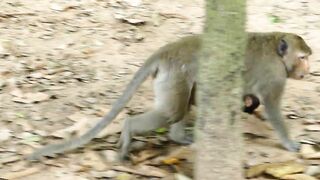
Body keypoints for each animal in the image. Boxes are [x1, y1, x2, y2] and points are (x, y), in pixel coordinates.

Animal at [28, 31, 312, 162]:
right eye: (303, 57)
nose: (309, 70)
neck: (276, 52)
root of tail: (166, 51)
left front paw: (248, 106)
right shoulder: (274, 75)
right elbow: (273, 108)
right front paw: (289, 143)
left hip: (178, 76)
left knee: (186, 101)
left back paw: (178, 136)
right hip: (176, 74)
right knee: (172, 111)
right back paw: (129, 129)